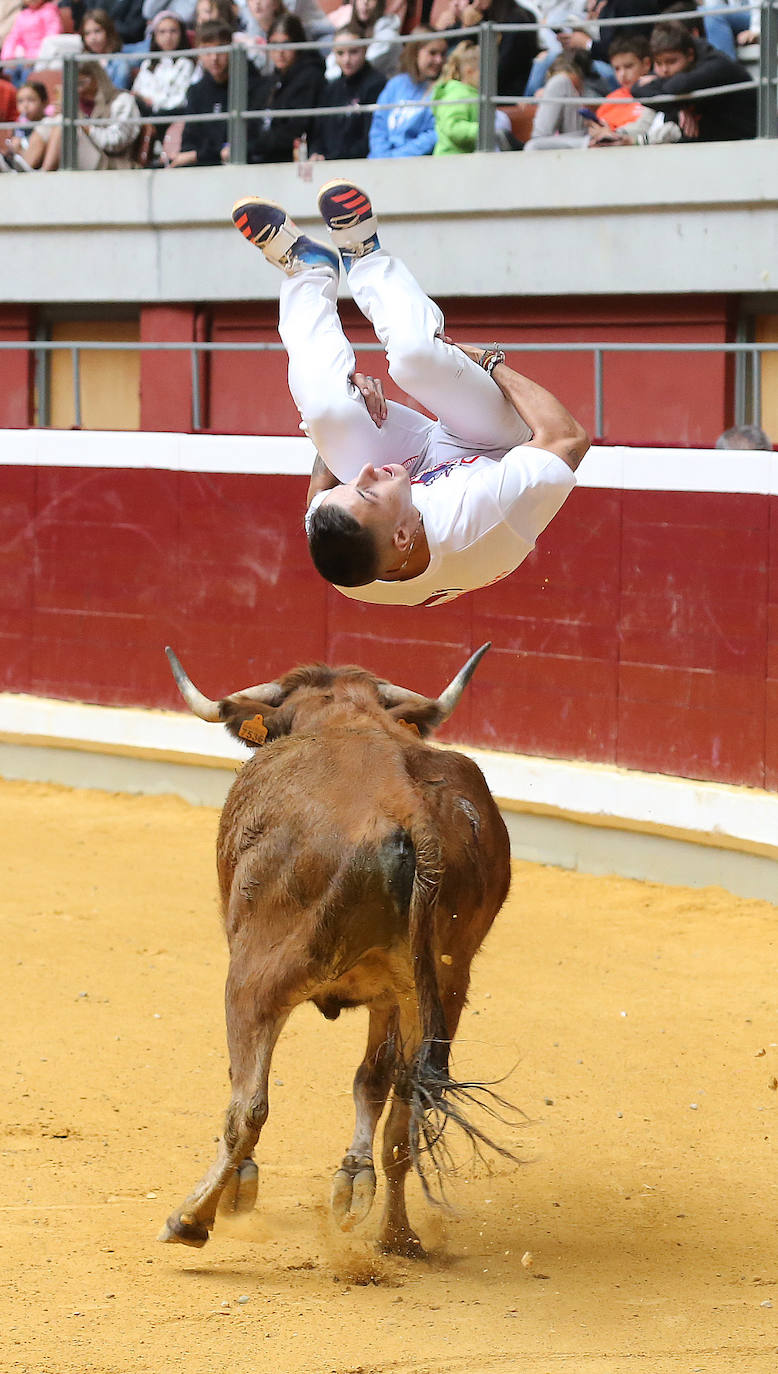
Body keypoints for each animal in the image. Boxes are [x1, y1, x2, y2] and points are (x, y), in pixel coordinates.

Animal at [160, 643, 511, 1258]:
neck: (347, 715)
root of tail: (407, 811)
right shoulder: (391, 995)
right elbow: (372, 1082)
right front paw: (353, 1183)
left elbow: (246, 1083)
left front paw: (240, 1189)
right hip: (441, 987)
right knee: (405, 1108)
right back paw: (397, 1237)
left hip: (254, 978)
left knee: (248, 1105)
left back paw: (191, 1218)